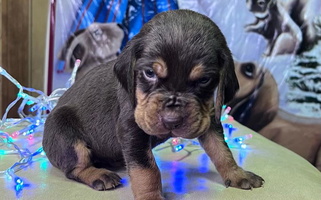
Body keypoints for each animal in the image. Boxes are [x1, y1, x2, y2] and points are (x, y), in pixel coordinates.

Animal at [42, 9, 262, 200]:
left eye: (204, 80)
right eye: (149, 73)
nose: (172, 121)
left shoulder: (207, 118)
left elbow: (222, 150)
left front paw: (237, 173)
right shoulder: (131, 129)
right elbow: (146, 170)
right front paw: (151, 197)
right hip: (65, 133)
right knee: (75, 168)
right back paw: (98, 175)